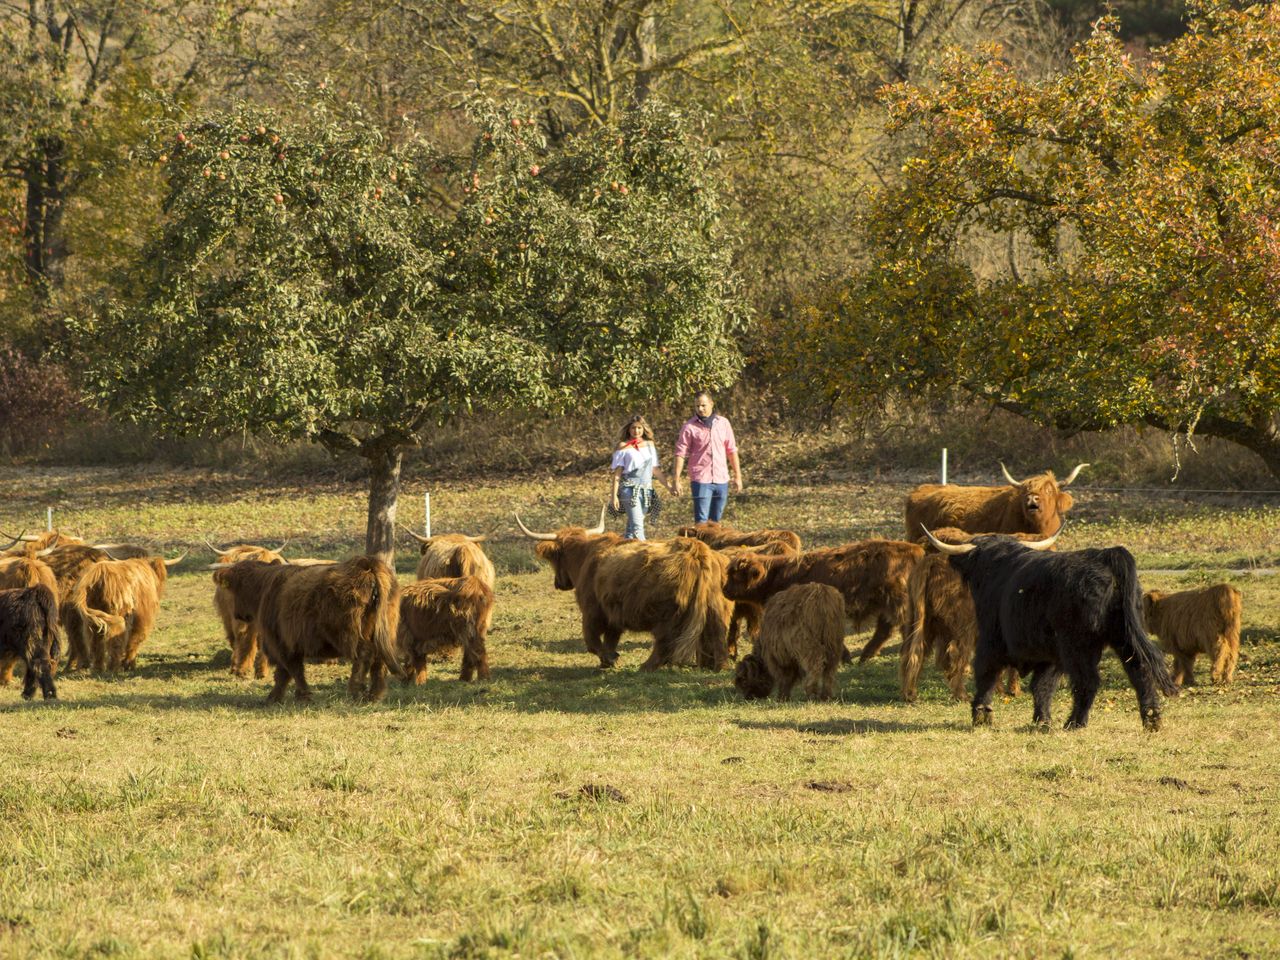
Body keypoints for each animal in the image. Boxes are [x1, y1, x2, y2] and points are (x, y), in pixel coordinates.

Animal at [512, 506, 732, 670]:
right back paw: (719, 667)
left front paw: (609, 659)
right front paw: (609, 658)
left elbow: (592, 641)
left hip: (667, 614)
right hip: (716, 608)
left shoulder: (592, 611)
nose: (558, 583)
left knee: (663, 643)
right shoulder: (613, 615)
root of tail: (697, 550)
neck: (585, 557)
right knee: (718, 636)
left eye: (556, 559)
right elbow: (611, 639)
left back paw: (646, 667)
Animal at [721, 542, 921, 670]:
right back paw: (865, 656)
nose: (724, 589)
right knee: (885, 629)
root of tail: (913, 549)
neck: (777, 575)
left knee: (901, 627)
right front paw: (845, 658)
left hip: (896, 602)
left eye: (735, 575)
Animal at [921, 529, 1177, 732]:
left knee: (1089, 681)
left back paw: (1074, 723)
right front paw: (1041, 720)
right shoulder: (1049, 653)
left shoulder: (991, 640)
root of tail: (1106, 556)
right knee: (1140, 670)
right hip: (1122, 636)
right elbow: (1042, 686)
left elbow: (987, 673)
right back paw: (1152, 719)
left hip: (1077, 645)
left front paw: (982, 715)